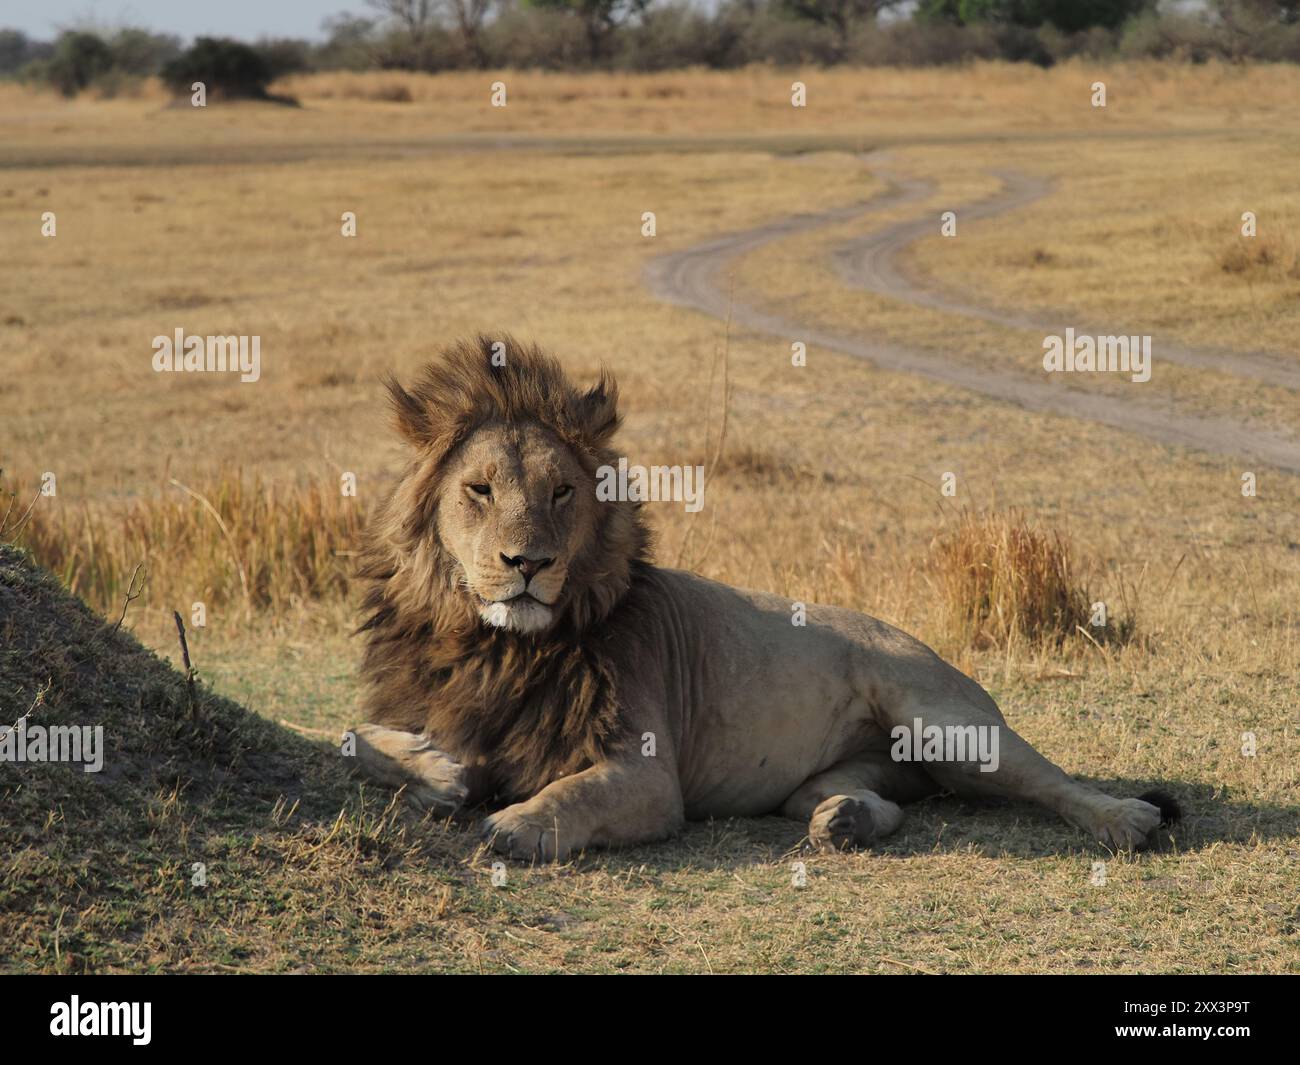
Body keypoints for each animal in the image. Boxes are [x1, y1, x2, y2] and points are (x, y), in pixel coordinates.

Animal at [348, 338, 1180, 863]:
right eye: (479, 489)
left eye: (560, 491)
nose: (528, 562)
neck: (496, 644)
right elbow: (358, 738)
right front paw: (438, 769)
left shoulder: (648, 778)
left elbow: (568, 795)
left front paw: (513, 822)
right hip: (841, 774)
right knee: (871, 801)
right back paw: (846, 820)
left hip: (946, 722)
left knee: (1053, 781)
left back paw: (1127, 819)